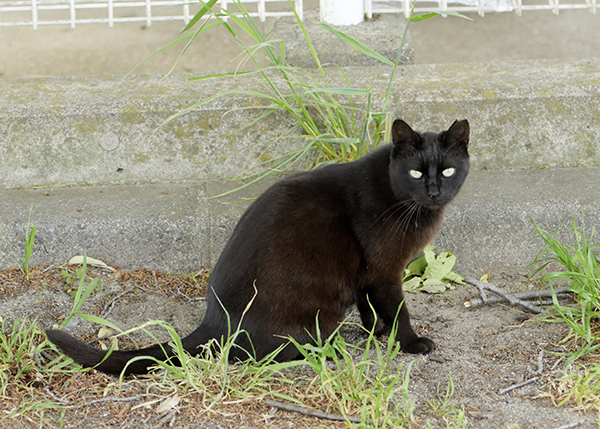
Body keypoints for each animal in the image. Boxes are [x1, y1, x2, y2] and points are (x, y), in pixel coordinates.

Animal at [47, 118, 468, 372]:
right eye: (416, 173)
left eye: (447, 170)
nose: (434, 191)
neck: (405, 201)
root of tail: (215, 321)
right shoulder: (384, 270)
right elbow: (398, 310)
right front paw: (411, 342)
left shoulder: (368, 273)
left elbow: (369, 307)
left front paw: (376, 333)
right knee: (268, 355)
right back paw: (326, 350)